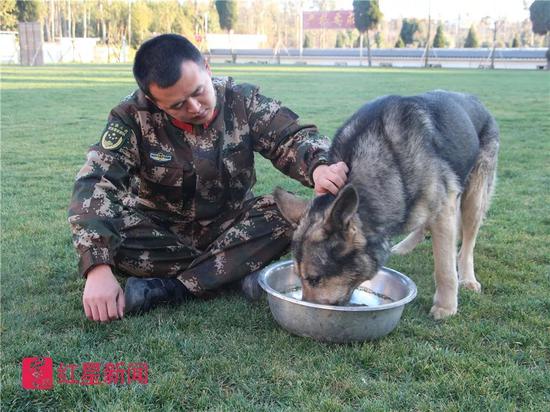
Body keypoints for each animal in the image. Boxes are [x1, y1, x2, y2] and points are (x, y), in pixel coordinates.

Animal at [276, 91, 500, 320]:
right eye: (298, 277)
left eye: (314, 279)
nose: (304, 313)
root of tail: (473, 98)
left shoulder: (444, 210)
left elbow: (444, 267)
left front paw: (445, 307)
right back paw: (404, 246)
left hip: (474, 198)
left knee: (468, 242)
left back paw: (467, 278)